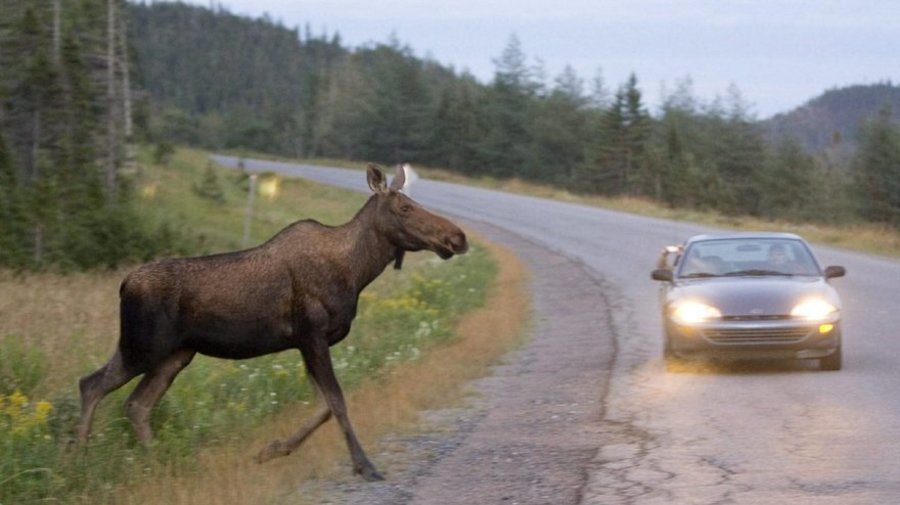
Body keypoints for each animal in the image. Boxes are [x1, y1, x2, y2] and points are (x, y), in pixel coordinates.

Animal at [76, 163, 468, 481]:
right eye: (405, 207)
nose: (458, 237)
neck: (357, 271)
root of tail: (124, 285)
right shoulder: (312, 334)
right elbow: (337, 401)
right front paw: (365, 465)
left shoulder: (307, 343)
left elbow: (323, 406)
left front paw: (270, 450)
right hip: (143, 346)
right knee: (91, 384)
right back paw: (79, 461)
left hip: (174, 355)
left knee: (136, 404)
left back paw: (152, 463)